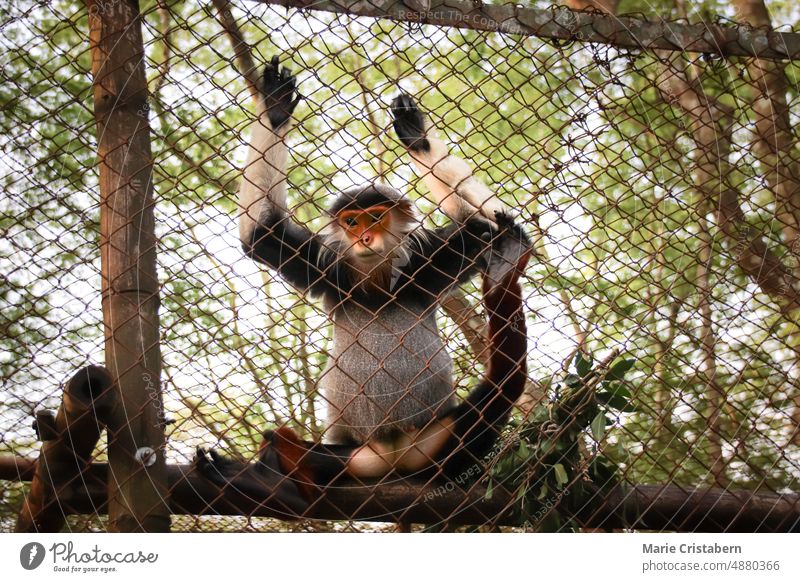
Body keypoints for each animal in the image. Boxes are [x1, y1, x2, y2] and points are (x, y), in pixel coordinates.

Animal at [195, 53, 532, 512]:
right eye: (352, 223)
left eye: (374, 218)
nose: (364, 238)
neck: (373, 280)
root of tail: (391, 458)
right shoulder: (329, 269)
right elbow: (261, 235)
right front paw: (276, 109)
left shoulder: (427, 262)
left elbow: (488, 225)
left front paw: (418, 139)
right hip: (352, 458)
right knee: (296, 455)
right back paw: (268, 476)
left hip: (440, 443)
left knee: (502, 386)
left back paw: (506, 265)